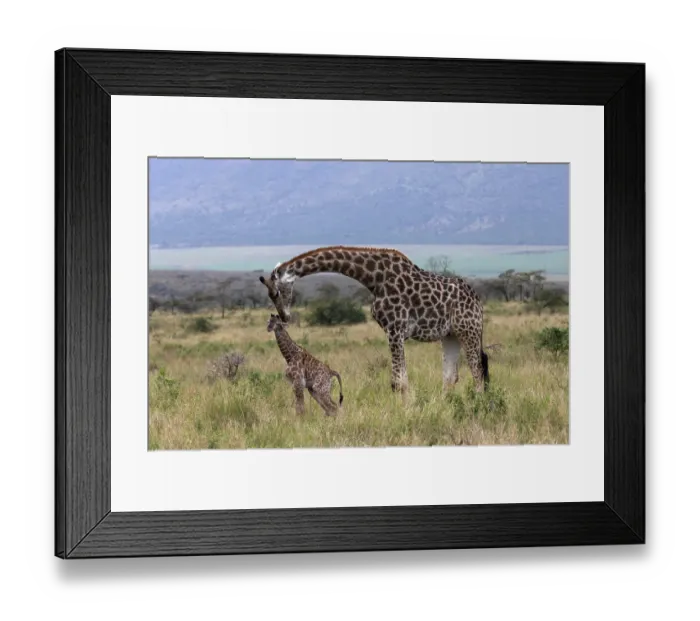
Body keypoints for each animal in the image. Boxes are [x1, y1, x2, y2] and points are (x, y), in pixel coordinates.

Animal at [258, 246, 489, 395]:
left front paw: (404, 415)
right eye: (270, 295)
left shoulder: (395, 329)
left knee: (477, 370)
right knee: (451, 377)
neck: (373, 278)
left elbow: (398, 382)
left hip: (469, 330)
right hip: (450, 335)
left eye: (276, 292)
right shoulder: (394, 331)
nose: (284, 316)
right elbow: (400, 380)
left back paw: (477, 407)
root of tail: (477, 300)